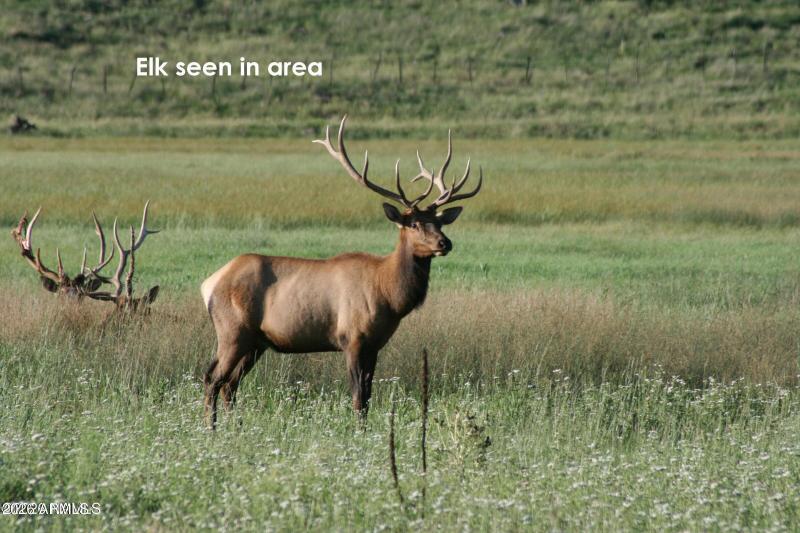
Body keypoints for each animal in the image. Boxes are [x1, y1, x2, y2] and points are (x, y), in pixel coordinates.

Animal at [201, 116, 482, 429]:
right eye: (414, 224)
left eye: (439, 222)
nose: (445, 243)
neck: (388, 295)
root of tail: (209, 284)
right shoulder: (353, 338)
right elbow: (358, 398)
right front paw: (359, 433)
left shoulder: (375, 345)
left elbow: (369, 396)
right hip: (232, 330)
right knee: (212, 378)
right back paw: (211, 430)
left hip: (256, 342)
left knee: (230, 384)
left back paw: (232, 429)